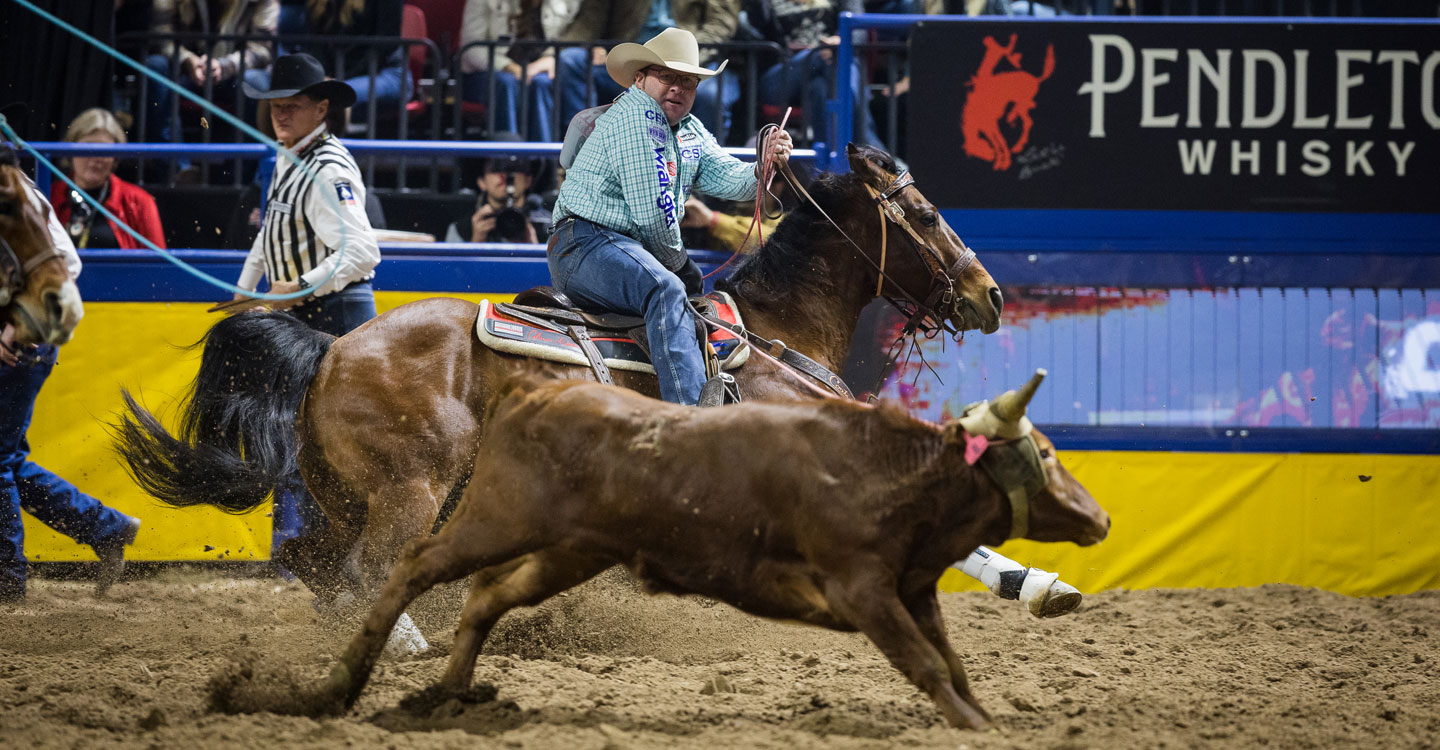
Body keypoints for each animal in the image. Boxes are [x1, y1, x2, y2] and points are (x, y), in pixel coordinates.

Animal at [112, 140, 1002, 619]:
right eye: (926, 215)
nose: (989, 293)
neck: (770, 336)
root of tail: (331, 352)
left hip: (347, 496)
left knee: (316, 565)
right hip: (410, 490)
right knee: (365, 573)